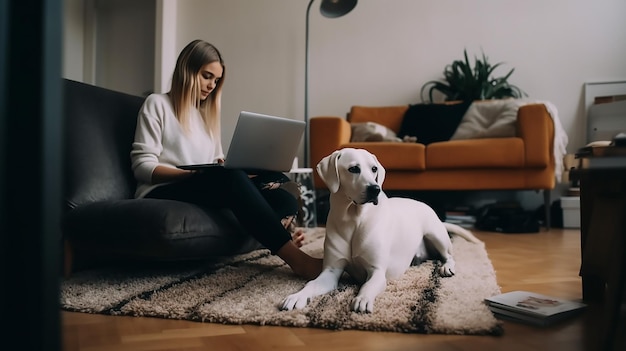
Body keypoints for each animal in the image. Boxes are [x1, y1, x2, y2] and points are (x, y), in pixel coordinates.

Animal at [280, 148, 478, 314]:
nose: (375, 189)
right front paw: (297, 296)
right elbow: (311, 284)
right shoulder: (330, 271)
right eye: (353, 169)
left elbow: (367, 286)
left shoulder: (377, 272)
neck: (354, 220)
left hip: (436, 234)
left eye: (374, 169)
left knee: (449, 255)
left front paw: (362, 299)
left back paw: (446, 267)